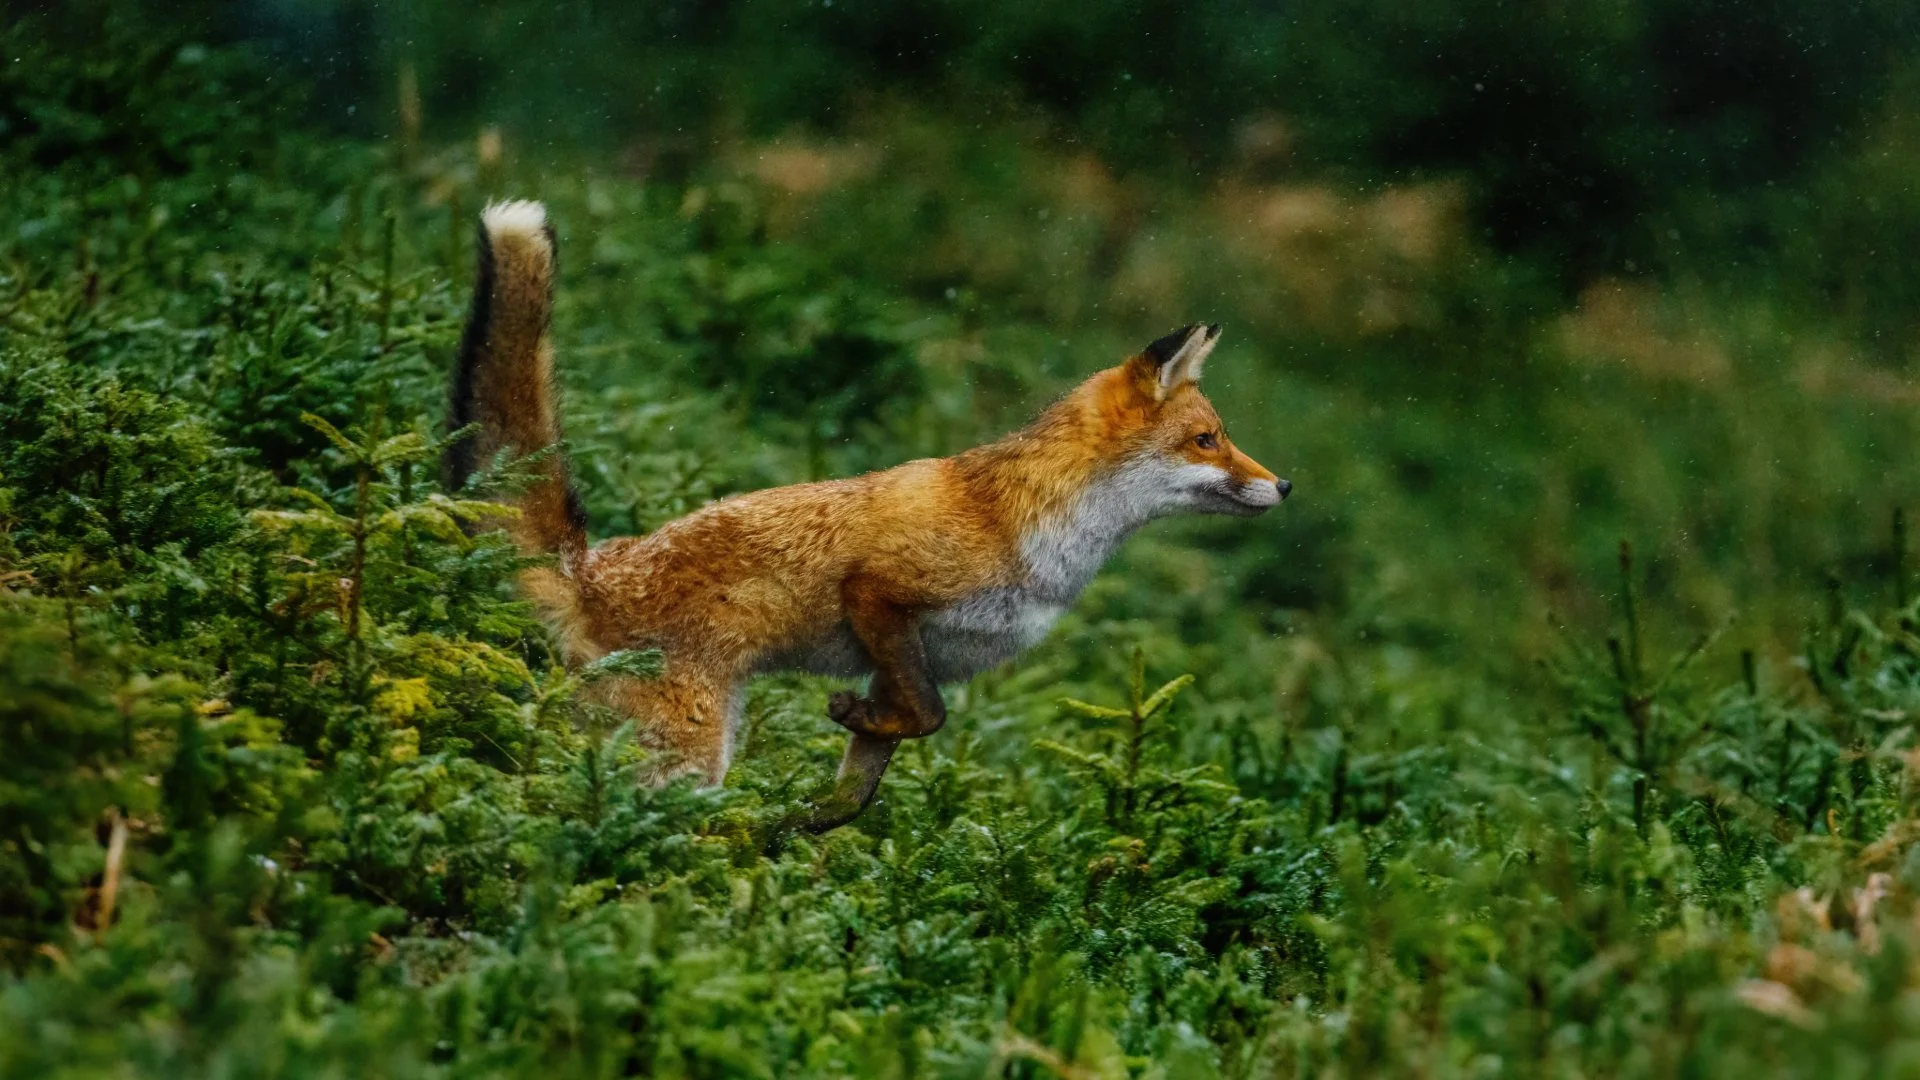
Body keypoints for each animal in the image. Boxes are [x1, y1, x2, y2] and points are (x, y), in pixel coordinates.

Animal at [444, 200, 1290, 830]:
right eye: (1209, 440)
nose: (1283, 486)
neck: (1030, 532)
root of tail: (589, 569)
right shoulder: (881, 593)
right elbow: (931, 718)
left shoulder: (911, 657)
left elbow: (867, 777)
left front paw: (804, 820)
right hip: (683, 759)